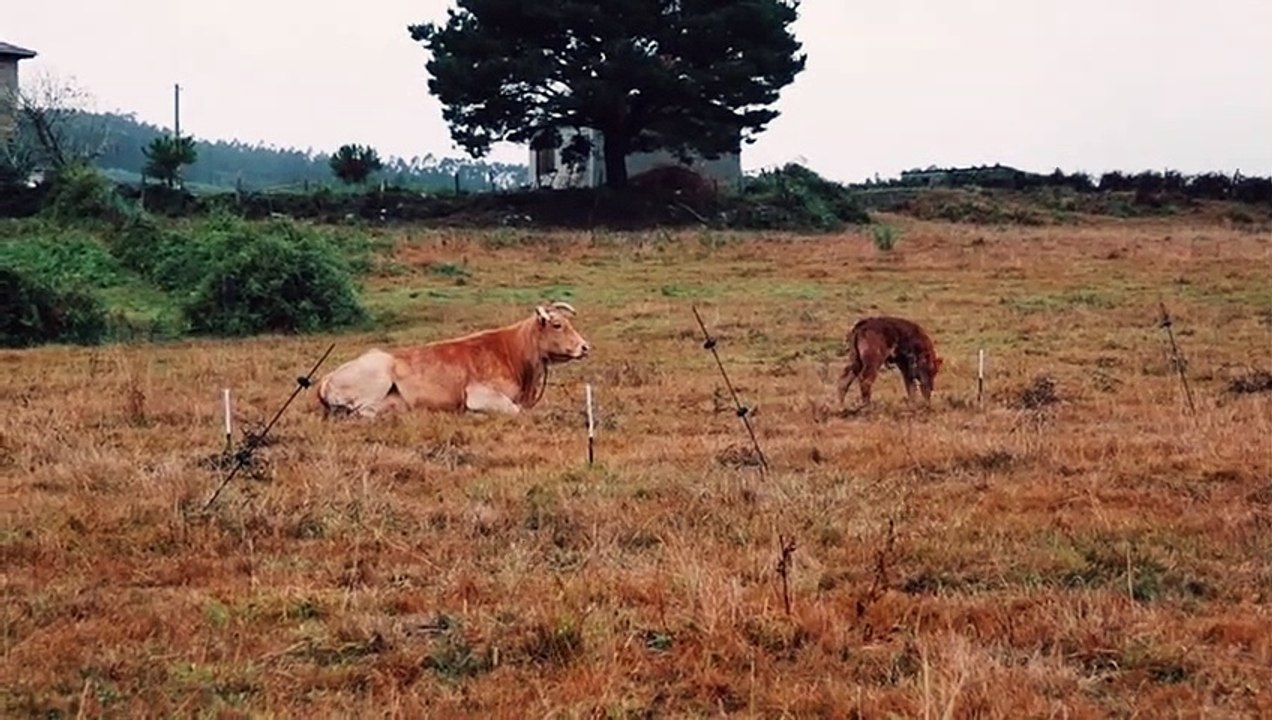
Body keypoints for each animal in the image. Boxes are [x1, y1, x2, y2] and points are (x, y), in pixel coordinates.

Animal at [316, 302, 590, 418]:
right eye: (557, 324)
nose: (585, 347)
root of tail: (327, 377)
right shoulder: (478, 394)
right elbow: (514, 410)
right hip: (378, 377)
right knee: (362, 411)